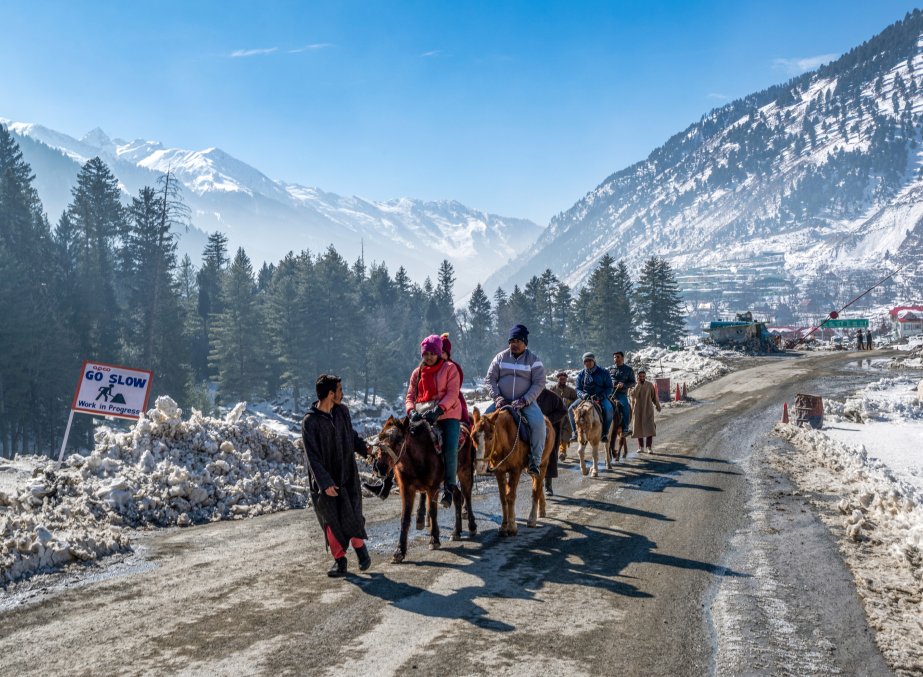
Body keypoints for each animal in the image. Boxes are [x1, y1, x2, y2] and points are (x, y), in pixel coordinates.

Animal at [374, 414, 476, 564]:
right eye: (380, 437)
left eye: (399, 439)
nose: (379, 467)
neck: (417, 458)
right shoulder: (406, 489)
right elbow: (405, 518)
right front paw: (399, 551)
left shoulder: (432, 487)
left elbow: (432, 512)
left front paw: (434, 540)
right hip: (450, 481)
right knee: (458, 496)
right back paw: (455, 532)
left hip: (465, 471)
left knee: (467, 496)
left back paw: (472, 526)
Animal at [472, 404, 552, 536]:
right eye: (473, 437)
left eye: (491, 437)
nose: (480, 467)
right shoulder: (499, 471)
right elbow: (503, 497)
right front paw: (504, 526)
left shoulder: (515, 470)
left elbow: (510, 496)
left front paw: (512, 527)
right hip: (529, 469)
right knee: (538, 484)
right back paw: (542, 509)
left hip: (542, 464)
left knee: (536, 488)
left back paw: (532, 519)